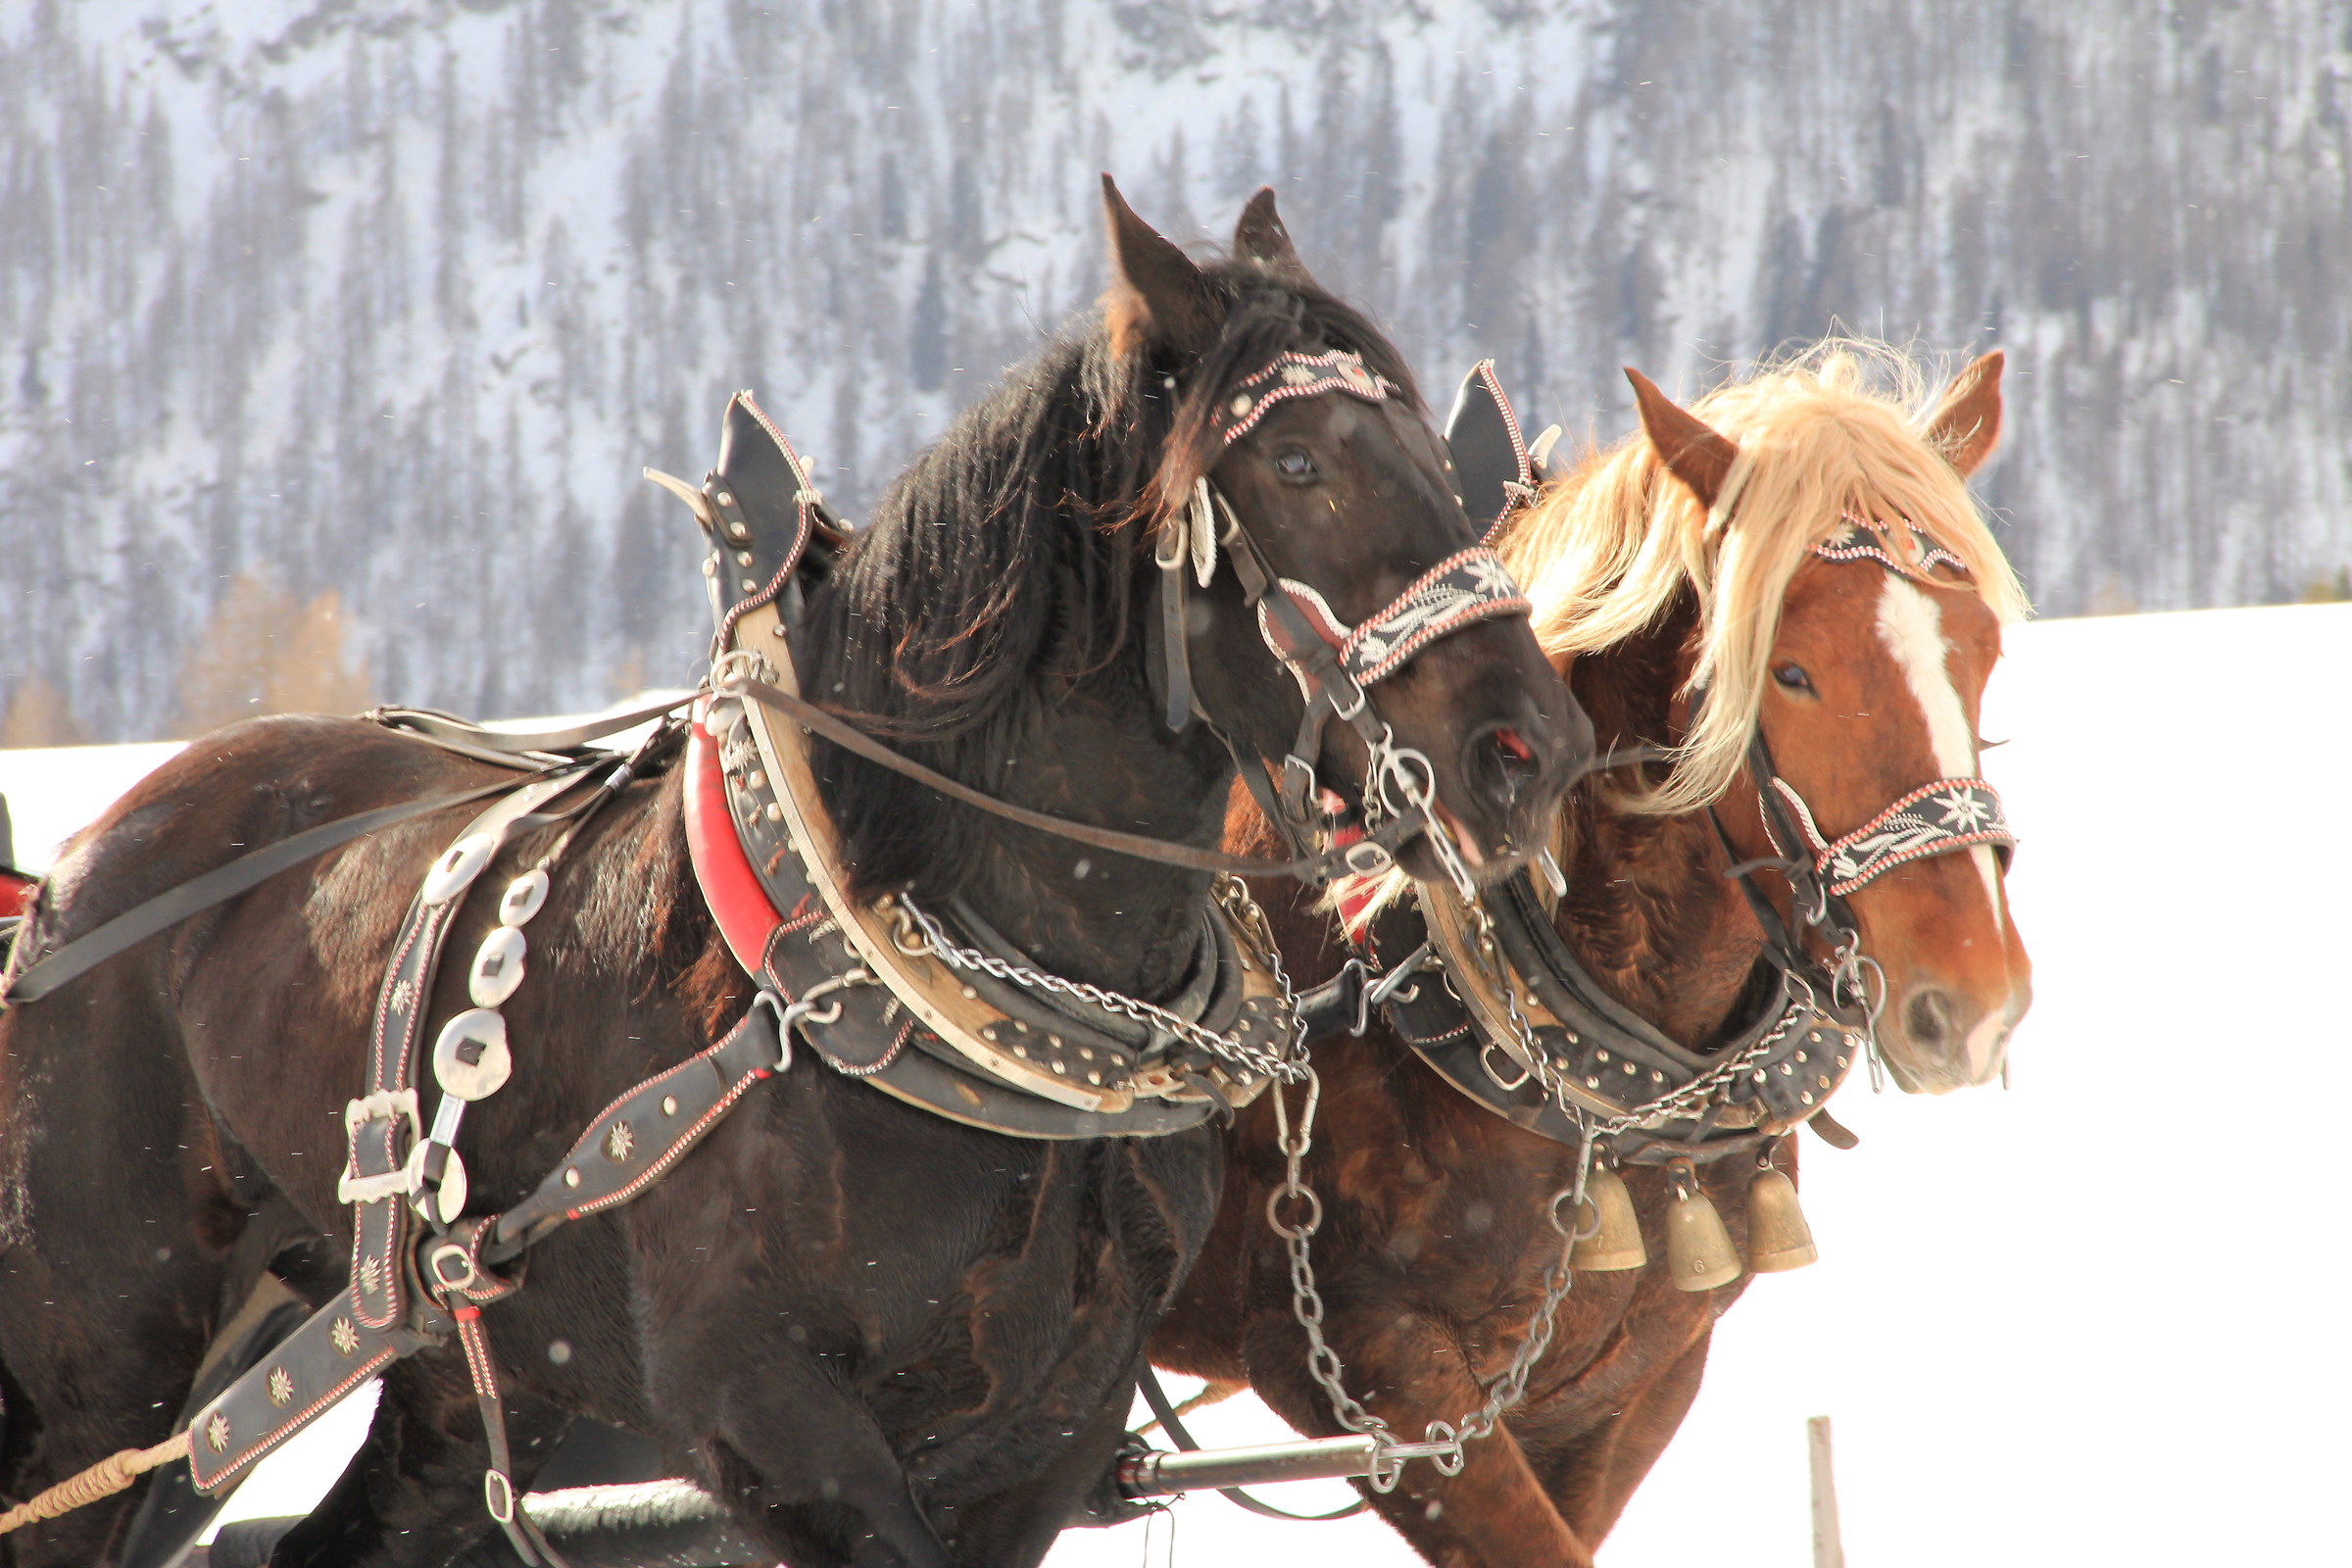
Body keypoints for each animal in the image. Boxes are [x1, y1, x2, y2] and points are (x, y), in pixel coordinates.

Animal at [0, 181, 1586, 1568]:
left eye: (1446, 465)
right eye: (1299, 465)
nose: (1535, 747)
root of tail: (76, 876)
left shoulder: (1049, 1432)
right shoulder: (768, 1422)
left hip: (460, 1371)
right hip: (109, 1366)